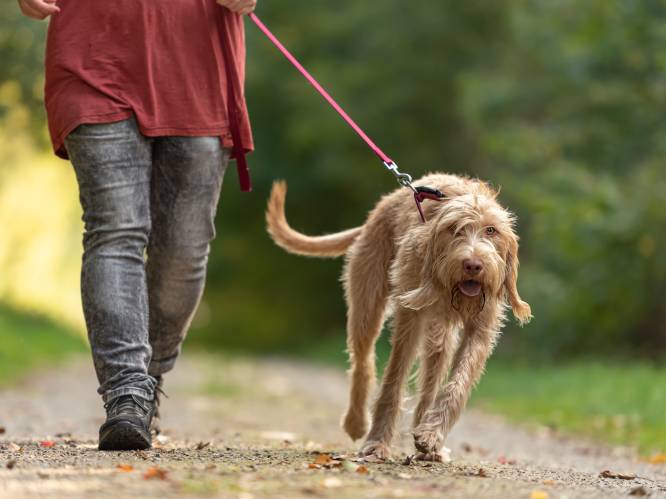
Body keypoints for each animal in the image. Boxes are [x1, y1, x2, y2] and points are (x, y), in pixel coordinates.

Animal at [264, 174, 528, 462]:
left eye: (491, 230)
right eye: (454, 229)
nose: (473, 265)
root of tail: (381, 207)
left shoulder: (480, 329)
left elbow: (458, 384)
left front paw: (432, 436)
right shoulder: (410, 318)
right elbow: (393, 380)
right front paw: (377, 442)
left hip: (439, 336)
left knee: (430, 381)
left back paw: (428, 440)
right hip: (366, 306)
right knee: (363, 363)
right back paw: (356, 422)